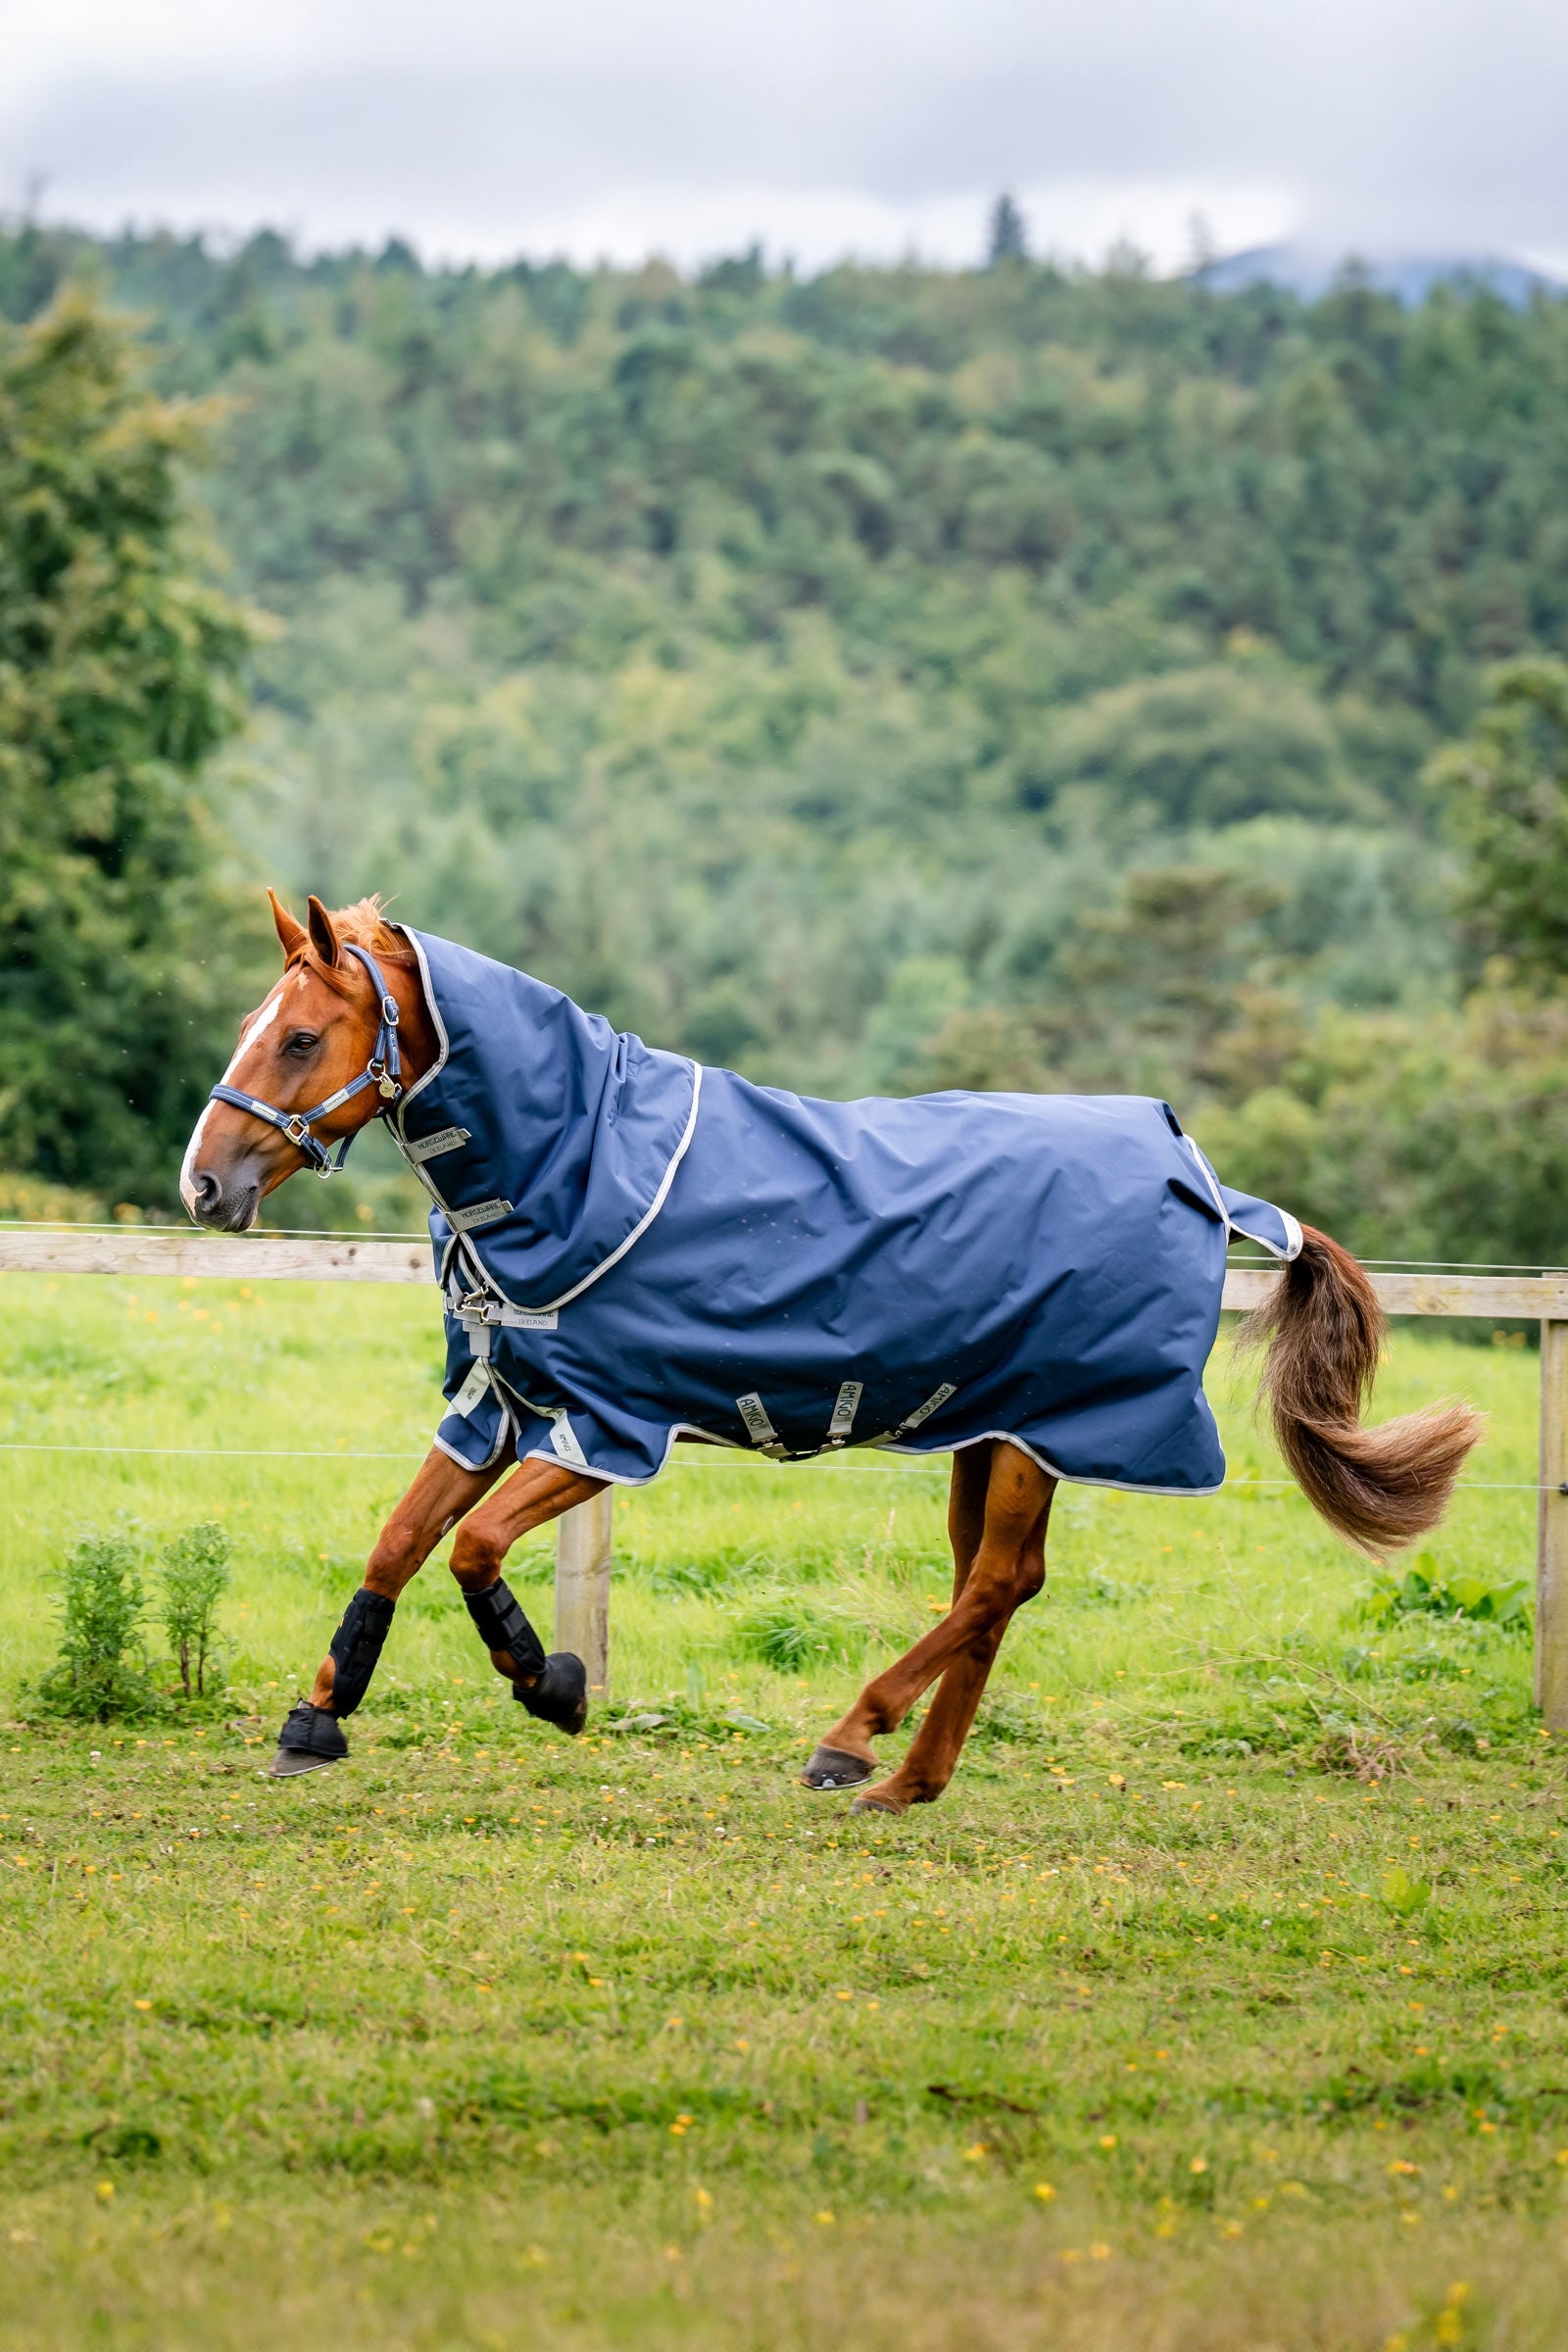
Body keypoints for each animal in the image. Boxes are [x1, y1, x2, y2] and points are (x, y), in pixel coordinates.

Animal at [182, 892, 1482, 1810]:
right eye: (250, 1028)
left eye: (300, 1037)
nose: (205, 1184)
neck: (580, 1165)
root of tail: (1198, 1173)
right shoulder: (502, 1403)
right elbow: (401, 1541)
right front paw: (317, 1721)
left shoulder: (607, 1427)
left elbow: (473, 1550)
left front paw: (550, 1685)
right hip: (994, 1426)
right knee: (998, 1585)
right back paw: (909, 1781)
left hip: (1044, 1430)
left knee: (994, 1584)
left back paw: (852, 1742)